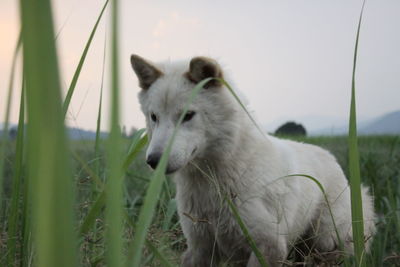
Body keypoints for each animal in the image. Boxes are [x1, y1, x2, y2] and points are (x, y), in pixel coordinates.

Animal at [130, 55, 376, 267]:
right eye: (154, 117)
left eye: (188, 116)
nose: (153, 161)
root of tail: (332, 159)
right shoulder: (200, 247)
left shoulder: (269, 246)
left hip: (327, 243)